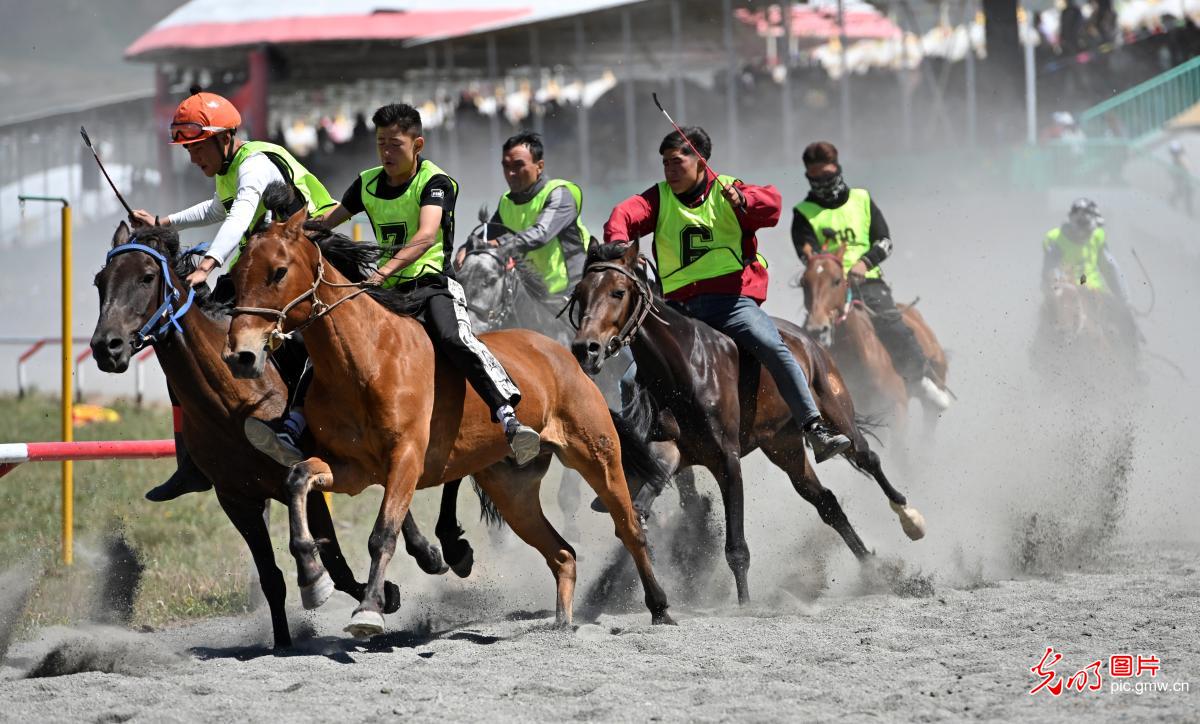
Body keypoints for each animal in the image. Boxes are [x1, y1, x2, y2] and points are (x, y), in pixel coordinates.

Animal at [87, 223, 446, 648]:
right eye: (100, 281)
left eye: (146, 277)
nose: (106, 347)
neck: (231, 405)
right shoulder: (237, 500)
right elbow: (272, 577)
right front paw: (283, 640)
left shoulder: (307, 484)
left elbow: (337, 564)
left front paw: (378, 596)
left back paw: (427, 554)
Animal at [223, 206, 676, 638]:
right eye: (236, 274)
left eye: (279, 271)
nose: (241, 354)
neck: (366, 360)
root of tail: (565, 354)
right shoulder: (353, 470)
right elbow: (298, 478)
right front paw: (313, 577)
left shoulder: (406, 459)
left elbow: (382, 533)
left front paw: (368, 610)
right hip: (513, 491)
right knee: (562, 553)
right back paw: (562, 623)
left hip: (597, 455)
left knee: (629, 528)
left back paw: (660, 608)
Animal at [568, 244, 926, 605]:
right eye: (580, 292)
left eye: (618, 291)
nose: (586, 348)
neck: (685, 368)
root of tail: (807, 340)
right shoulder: (671, 453)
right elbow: (647, 498)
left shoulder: (727, 459)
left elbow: (736, 547)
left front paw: (744, 603)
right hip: (784, 446)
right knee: (826, 502)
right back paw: (874, 570)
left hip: (836, 411)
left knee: (868, 457)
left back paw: (910, 519)